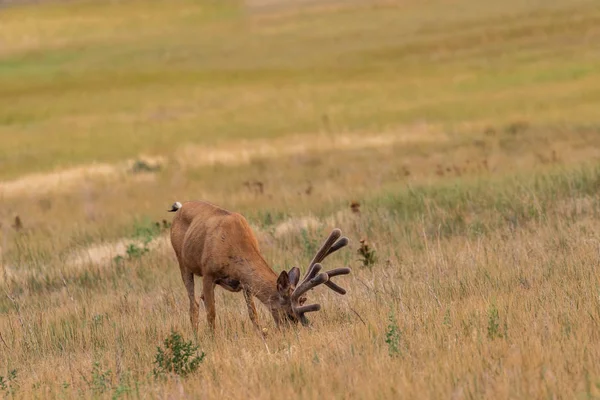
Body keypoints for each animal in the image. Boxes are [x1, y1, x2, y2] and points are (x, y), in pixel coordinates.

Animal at [166, 200, 350, 334]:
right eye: (289, 315)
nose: (290, 333)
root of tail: (180, 207)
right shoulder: (208, 272)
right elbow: (211, 314)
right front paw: (213, 340)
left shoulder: (244, 282)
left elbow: (252, 314)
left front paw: (261, 335)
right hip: (182, 262)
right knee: (194, 305)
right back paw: (196, 336)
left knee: (201, 299)